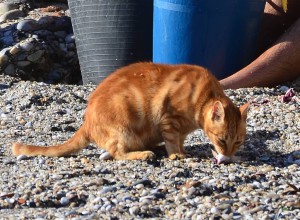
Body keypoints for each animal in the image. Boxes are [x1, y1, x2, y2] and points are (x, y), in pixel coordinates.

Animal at [11, 62, 250, 161]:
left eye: (238, 141)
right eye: (222, 140)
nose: (228, 155)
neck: (203, 97)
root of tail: (87, 122)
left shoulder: (179, 128)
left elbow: (179, 140)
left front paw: (181, 150)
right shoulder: (169, 120)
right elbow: (173, 141)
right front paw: (177, 154)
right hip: (122, 129)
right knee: (117, 154)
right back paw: (143, 154)